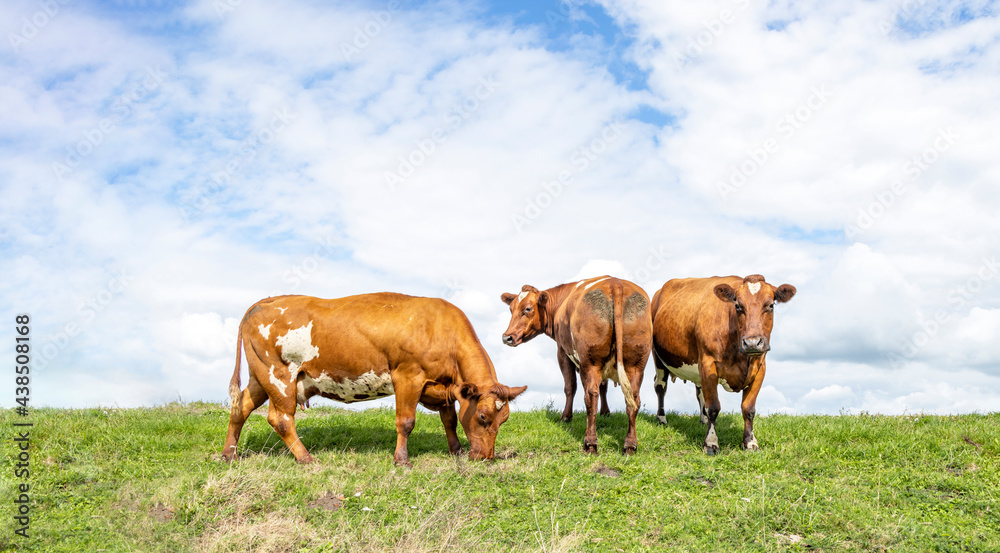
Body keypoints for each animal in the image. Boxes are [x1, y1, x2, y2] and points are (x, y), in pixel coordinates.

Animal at [223, 294, 528, 466]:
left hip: (259, 377)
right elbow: (406, 422)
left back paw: (230, 454)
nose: (486, 457)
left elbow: (450, 420)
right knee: (281, 419)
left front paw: (456, 451)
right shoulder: (408, 376)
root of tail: (267, 300)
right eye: (484, 417)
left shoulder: (444, 386)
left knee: (240, 408)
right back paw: (306, 458)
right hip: (278, 375)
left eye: (504, 420)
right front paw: (402, 460)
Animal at [500, 276, 656, 452]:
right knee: (633, 399)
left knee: (591, 395)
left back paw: (590, 443)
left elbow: (570, 387)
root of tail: (615, 283)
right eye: (511, 309)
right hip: (636, 364)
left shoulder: (563, 352)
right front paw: (606, 413)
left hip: (590, 362)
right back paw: (630, 445)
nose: (507, 337)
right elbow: (604, 387)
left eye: (527, 308)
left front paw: (566, 417)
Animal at [648, 274, 796, 454]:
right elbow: (713, 408)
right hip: (658, 356)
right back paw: (661, 419)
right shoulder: (708, 363)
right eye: (737, 306)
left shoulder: (760, 368)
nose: (752, 343)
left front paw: (750, 442)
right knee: (660, 386)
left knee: (700, 392)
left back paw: (703, 420)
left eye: (770, 305)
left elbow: (748, 409)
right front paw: (711, 443)